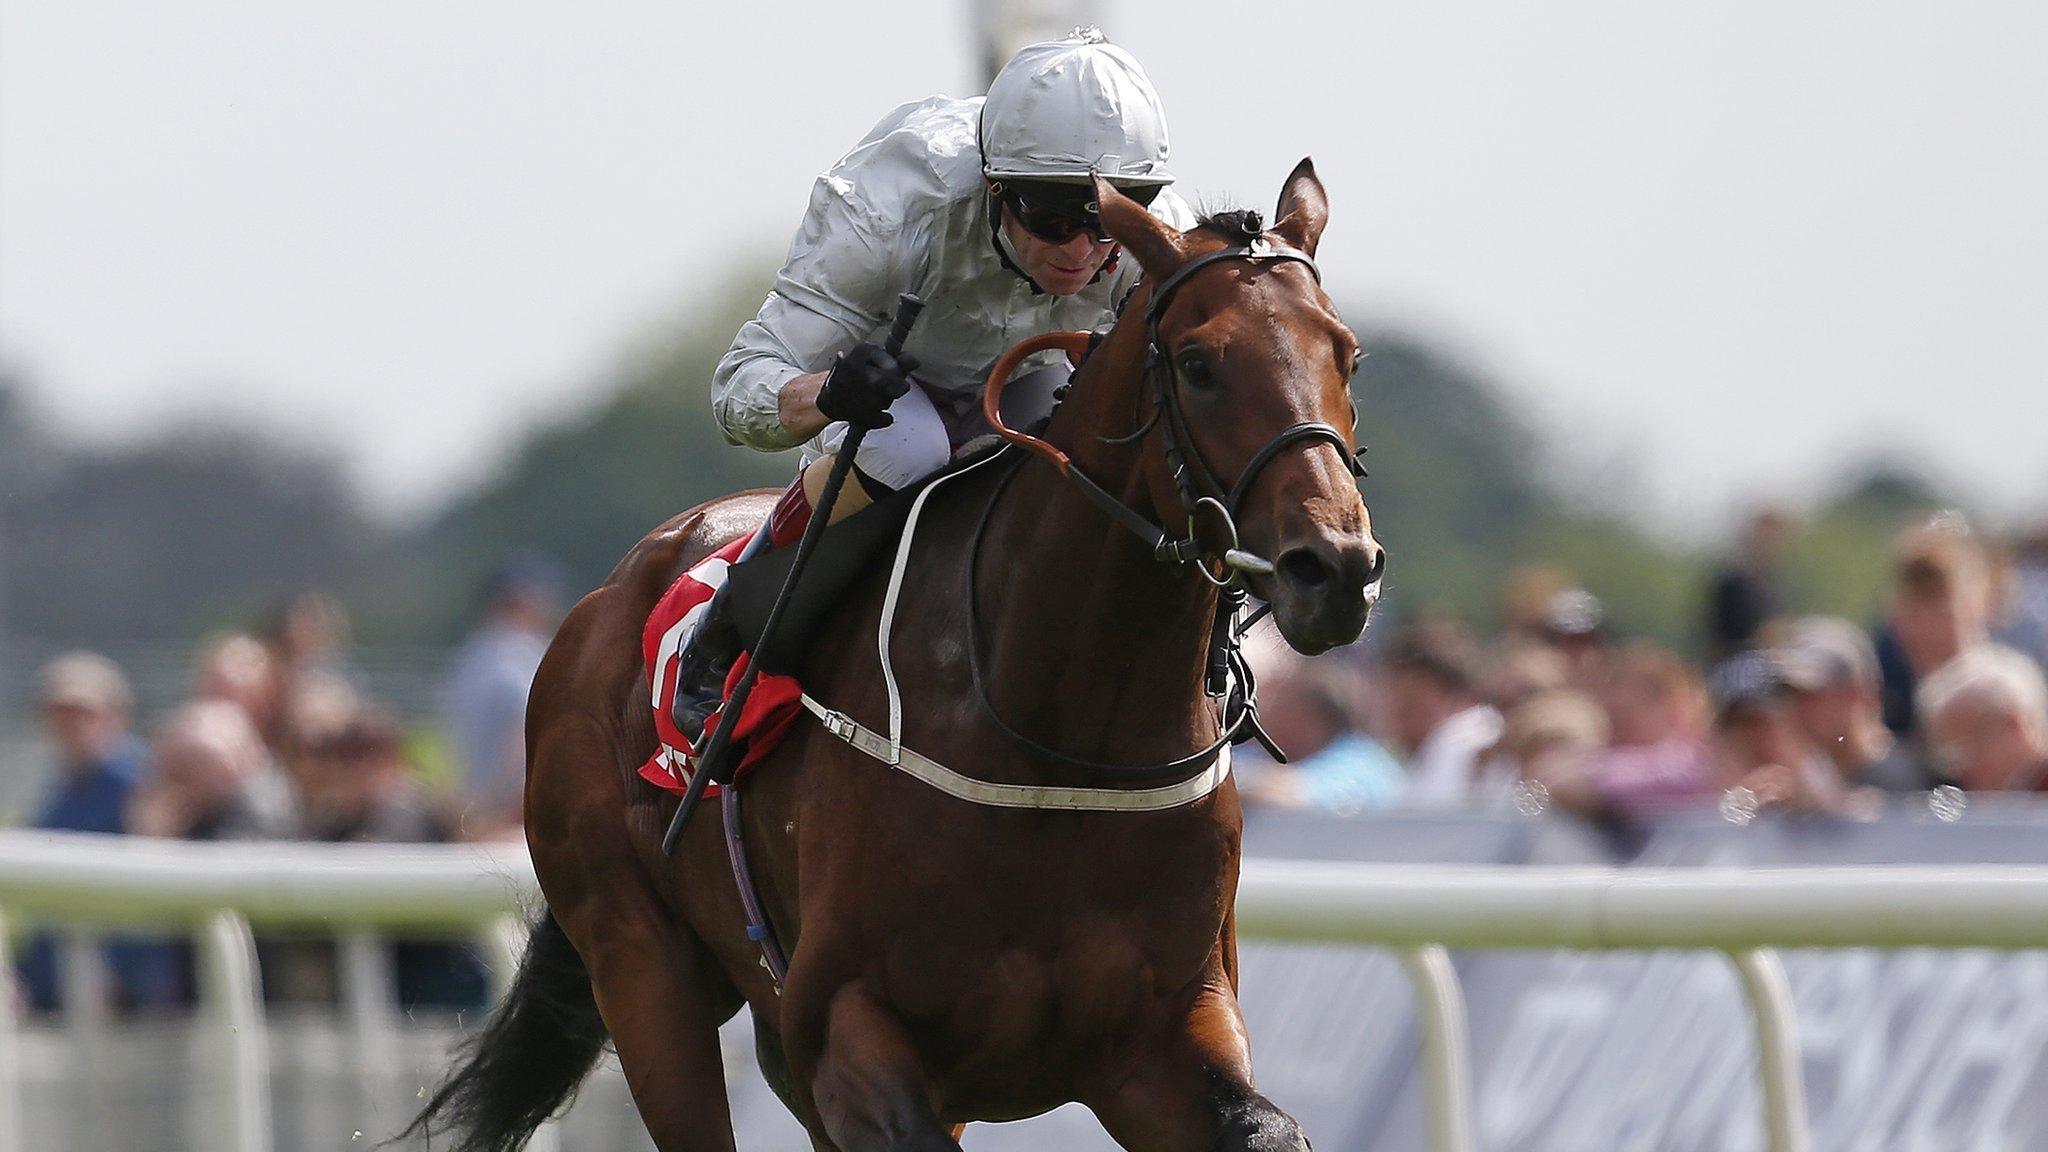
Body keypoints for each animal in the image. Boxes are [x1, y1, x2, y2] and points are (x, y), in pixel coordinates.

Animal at [407, 161, 1384, 1147]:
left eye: (1347, 356)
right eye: (1198, 363)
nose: (1335, 567)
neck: (1062, 741)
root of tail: (606, 598)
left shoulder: (1164, 1035)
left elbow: (1264, 1127)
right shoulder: (846, 1029)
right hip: (641, 965)